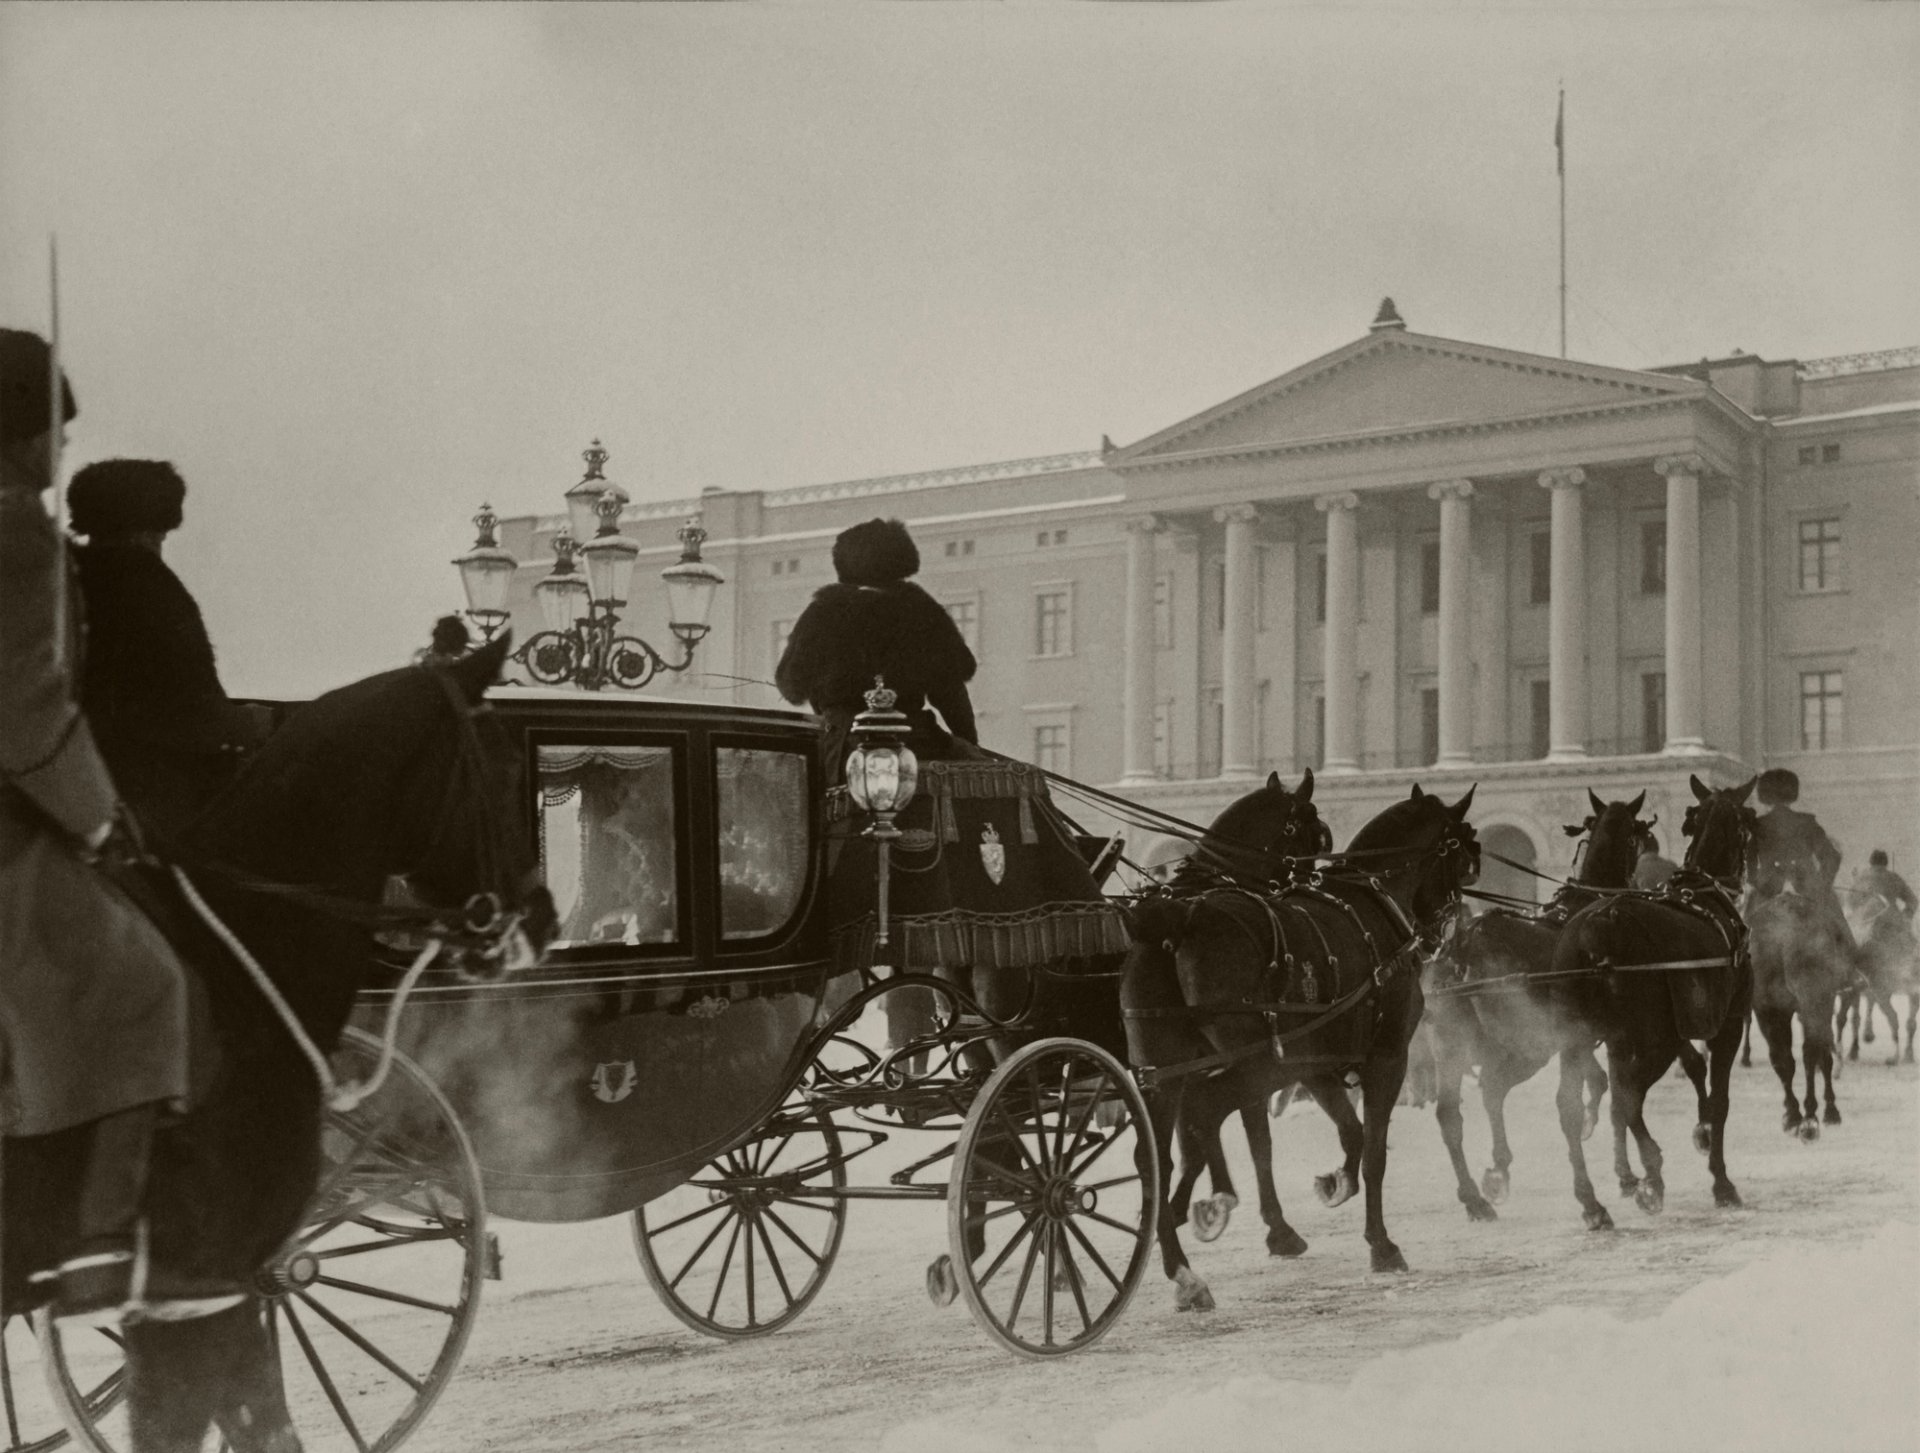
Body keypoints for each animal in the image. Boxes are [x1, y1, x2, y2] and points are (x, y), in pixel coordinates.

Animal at [1123, 784, 1479, 1311]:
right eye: (1463, 856)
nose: (1444, 936)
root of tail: (1181, 914)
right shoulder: (1385, 1059)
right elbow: (1373, 1152)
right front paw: (1381, 1244)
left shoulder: (1317, 1064)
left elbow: (1349, 1135)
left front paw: (1334, 1184)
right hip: (1251, 1065)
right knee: (1203, 1115)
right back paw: (1209, 1214)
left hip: (1165, 1072)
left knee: (1159, 1158)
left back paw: (1183, 1267)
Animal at [1424, 791, 1654, 1222]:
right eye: (1639, 835)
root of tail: (1464, 942)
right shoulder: (1593, 1036)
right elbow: (1608, 1095)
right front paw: (1625, 1173)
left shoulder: (1577, 1039)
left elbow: (1597, 1083)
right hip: (1526, 1046)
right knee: (1496, 1090)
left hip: (1460, 1046)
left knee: (1456, 1111)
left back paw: (1479, 1192)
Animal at [1550, 775, 1756, 1227]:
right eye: (1747, 824)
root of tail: (1598, 924)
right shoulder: (1727, 1026)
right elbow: (1719, 1100)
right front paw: (1721, 1179)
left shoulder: (1620, 1040)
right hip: (1651, 1039)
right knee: (1629, 1096)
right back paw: (1652, 1171)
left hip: (1580, 1040)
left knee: (1575, 1106)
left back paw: (1593, 1201)